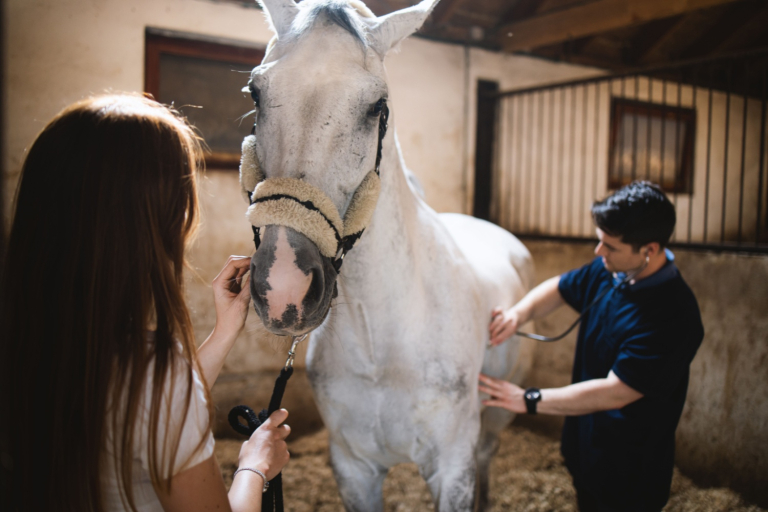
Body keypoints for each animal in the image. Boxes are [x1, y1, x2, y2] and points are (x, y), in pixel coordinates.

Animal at [239, 1, 535, 509]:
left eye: (377, 106)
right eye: (256, 92)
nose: (285, 287)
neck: (379, 335)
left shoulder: (452, 468)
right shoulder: (354, 469)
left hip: (494, 423)